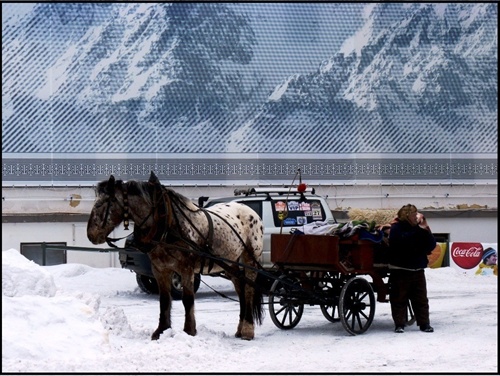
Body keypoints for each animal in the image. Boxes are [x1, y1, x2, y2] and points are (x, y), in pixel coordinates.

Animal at [86, 171, 266, 340]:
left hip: (250, 259)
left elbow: (187, 299)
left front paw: (189, 330)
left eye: (100, 203)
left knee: (249, 290)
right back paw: (240, 329)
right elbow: (165, 300)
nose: (91, 235)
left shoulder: (186, 269)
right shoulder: (160, 269)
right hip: (231, 263)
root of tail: (252, 212)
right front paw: (161, 331)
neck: (167, 225)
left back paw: (248, 330)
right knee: (241, 290)